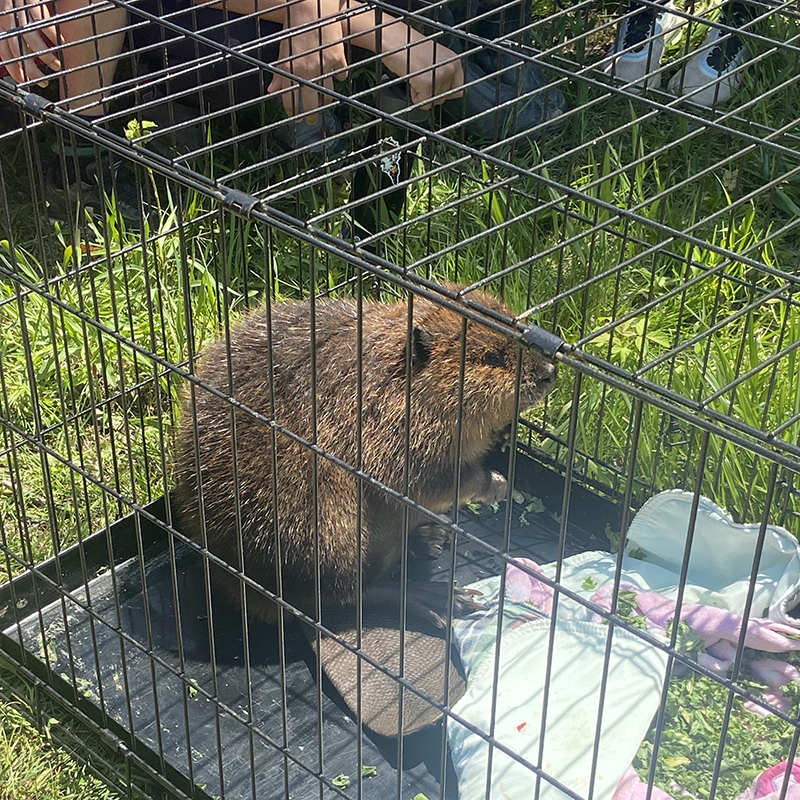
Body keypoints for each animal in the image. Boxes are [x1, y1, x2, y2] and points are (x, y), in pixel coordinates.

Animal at [170, 288, 556, 624]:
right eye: (491, 357)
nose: (549, 373)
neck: (392, 374)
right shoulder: (384, 426)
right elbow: (423, 480)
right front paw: (496, 484)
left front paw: (506, 435)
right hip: (322, 532)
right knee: (349, 592)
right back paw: (436, 596)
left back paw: (429, 537)